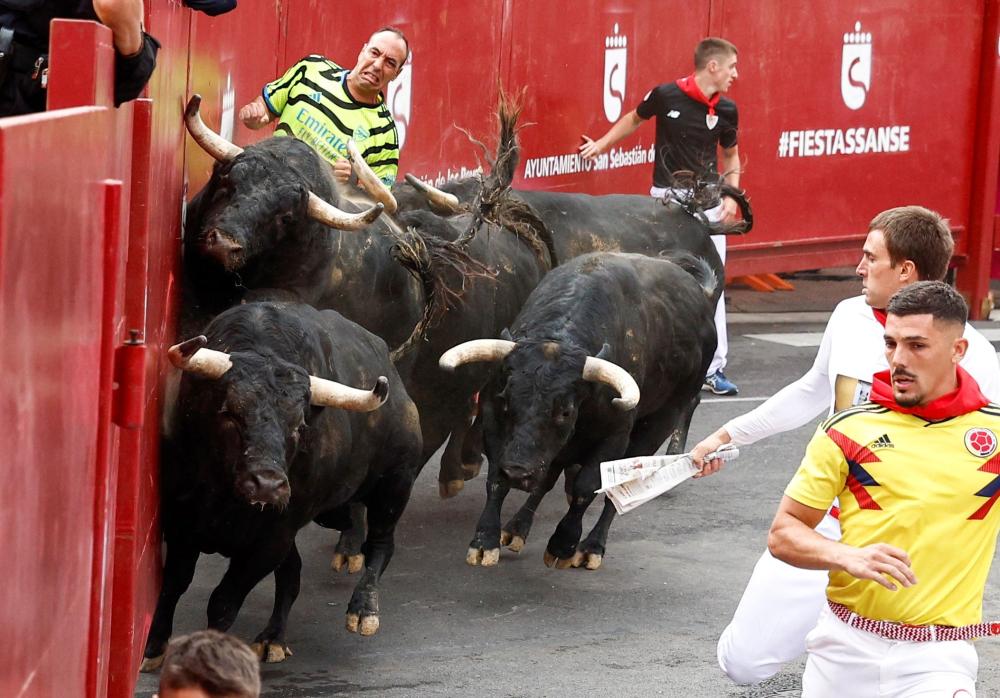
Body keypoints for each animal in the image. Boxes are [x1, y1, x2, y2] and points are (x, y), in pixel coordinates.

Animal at [142, 300, 422, 664]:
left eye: (299, 425)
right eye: (229, 414)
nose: (268, 485)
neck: (225, 498)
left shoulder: (271, 539)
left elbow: (223, 602)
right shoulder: (181, 522)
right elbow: (174, 582)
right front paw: (153, 646)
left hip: (396, 483)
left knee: (380, 545)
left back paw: (363, 611)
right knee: (294, 572)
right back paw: (273, 637)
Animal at [446, 253, 720, 568]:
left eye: (565, 411)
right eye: (506, 401)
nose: (518, 471)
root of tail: (701, 295)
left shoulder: (615, 436)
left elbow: (586, 487)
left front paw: (563, 544)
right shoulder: (493, 421)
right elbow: (496, 481)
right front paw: (485, 540)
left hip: (662, 419)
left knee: (620, 484)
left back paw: (592, 546)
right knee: (548, 477)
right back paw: (516, 529)